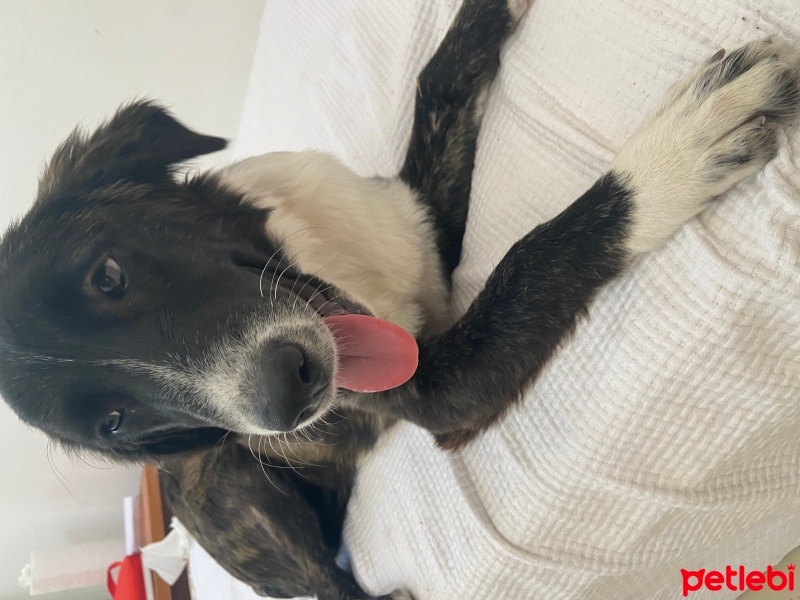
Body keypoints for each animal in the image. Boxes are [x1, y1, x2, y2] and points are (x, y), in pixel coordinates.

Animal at [1, 0, 800, 596]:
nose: (289, 399)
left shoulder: (419, 223)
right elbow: (532, 259)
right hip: (228, 486)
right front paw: (673, 157)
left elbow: (436, 84)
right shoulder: (439, 390)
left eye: (107, 276)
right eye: (116, 424)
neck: (312, 256)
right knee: (325, 584)